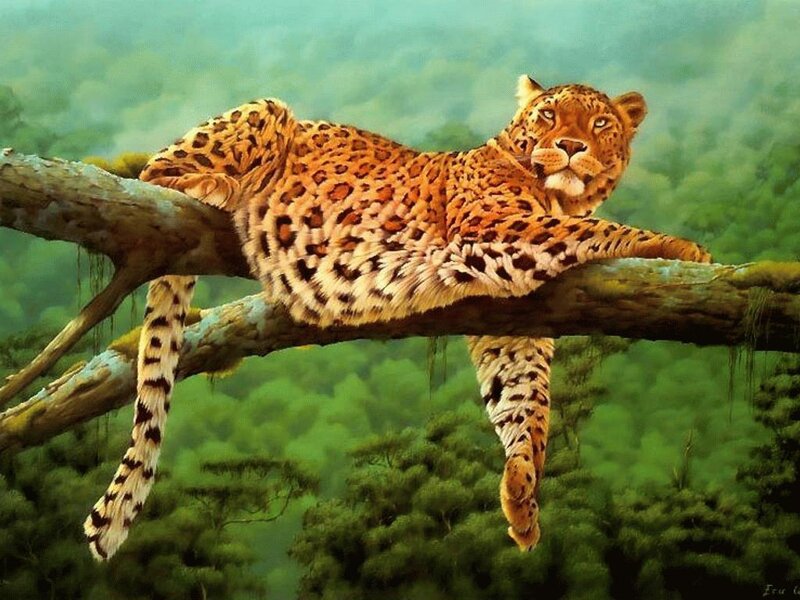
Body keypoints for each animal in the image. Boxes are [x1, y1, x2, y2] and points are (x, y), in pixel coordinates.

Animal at [83, 74, 711, 560]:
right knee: (152, 174)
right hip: (265, 113)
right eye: (550, 115)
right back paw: (215, 184)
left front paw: (522, 494)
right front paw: (684, 248)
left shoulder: (510, 321)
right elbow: (599, 230)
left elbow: (525, 403)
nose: (572, 145)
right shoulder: (495, 229)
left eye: (600, 124)